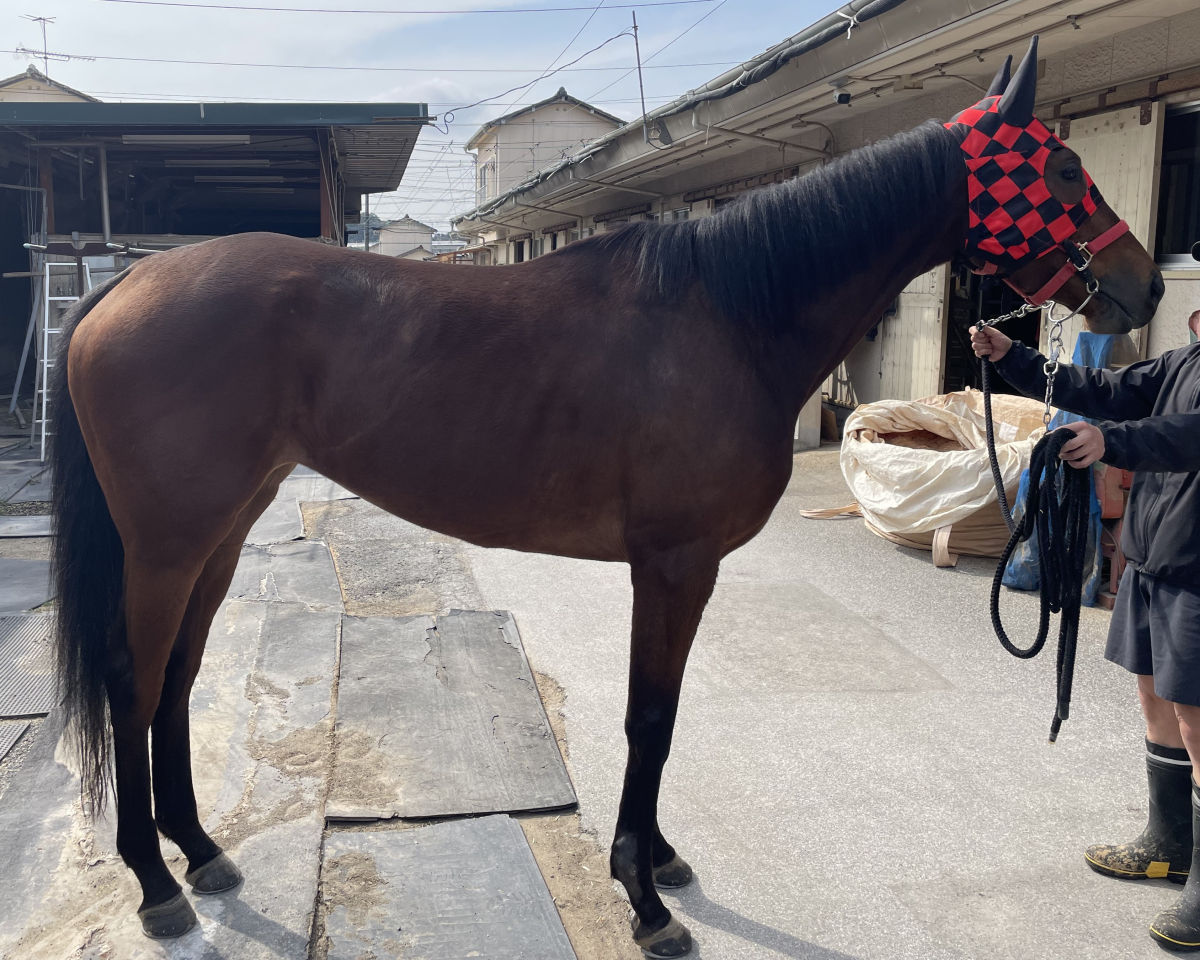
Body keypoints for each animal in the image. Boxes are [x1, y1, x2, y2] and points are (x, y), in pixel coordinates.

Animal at [50, 36, 1162, 957]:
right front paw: (646, 898)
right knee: (132, 682)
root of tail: (122, 288)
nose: (1144, 286)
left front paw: (657, 857)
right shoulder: (671, 566)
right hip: (167, 543)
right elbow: (650, 720)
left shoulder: (680, 572)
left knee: (179, 679)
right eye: (1063, 169)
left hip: (222, 532)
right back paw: (156, 884)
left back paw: (200, 850)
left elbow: (658, 716)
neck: (728, 315)